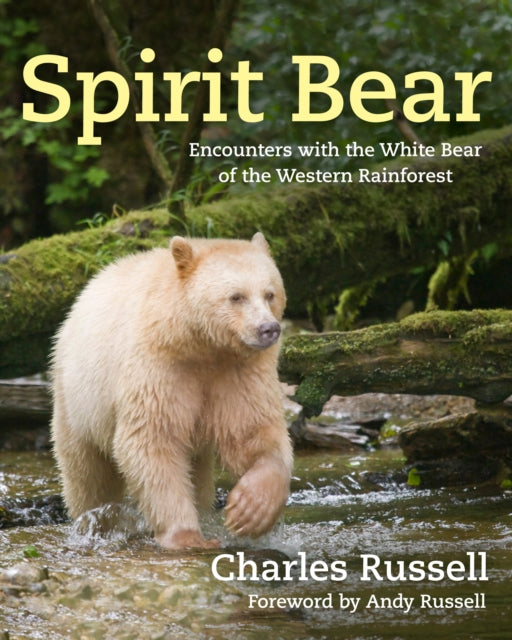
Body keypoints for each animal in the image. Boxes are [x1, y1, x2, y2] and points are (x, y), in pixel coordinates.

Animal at [50, 232, 293, 550]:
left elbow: (252, 431)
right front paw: (187, 537)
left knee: (198, 476)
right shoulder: (159, 366)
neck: (199, 344)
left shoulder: (239, 372)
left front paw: (249, 509)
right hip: (77, 397)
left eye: (270, 294)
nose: (268, 328)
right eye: (236, 296)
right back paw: (93, 521)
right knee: (87, 472)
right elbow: (152, 440)